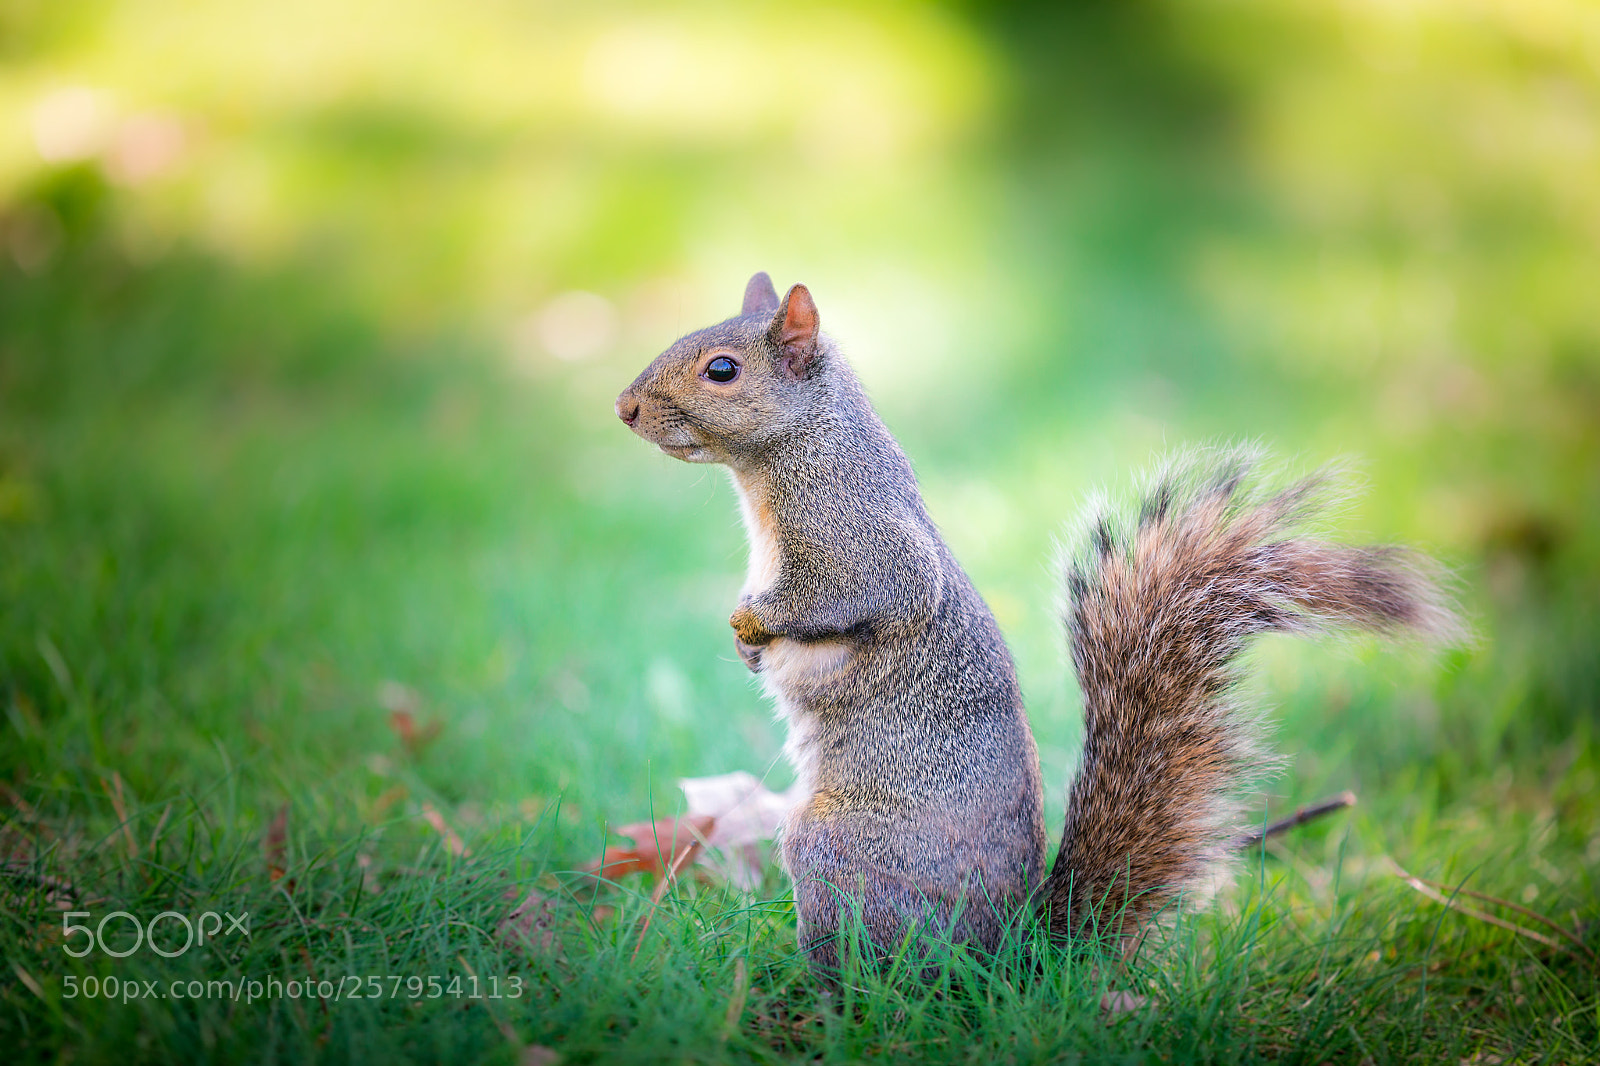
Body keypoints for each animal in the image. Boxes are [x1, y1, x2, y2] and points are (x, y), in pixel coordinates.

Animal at [615, 272, 1455, 972]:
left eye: (723, 370)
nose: (624, 408)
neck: (787, 454)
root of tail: (1012, 952)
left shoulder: (857, 536)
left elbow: (856, 595)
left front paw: (753, 621)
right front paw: (745, 641)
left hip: (838, 849)